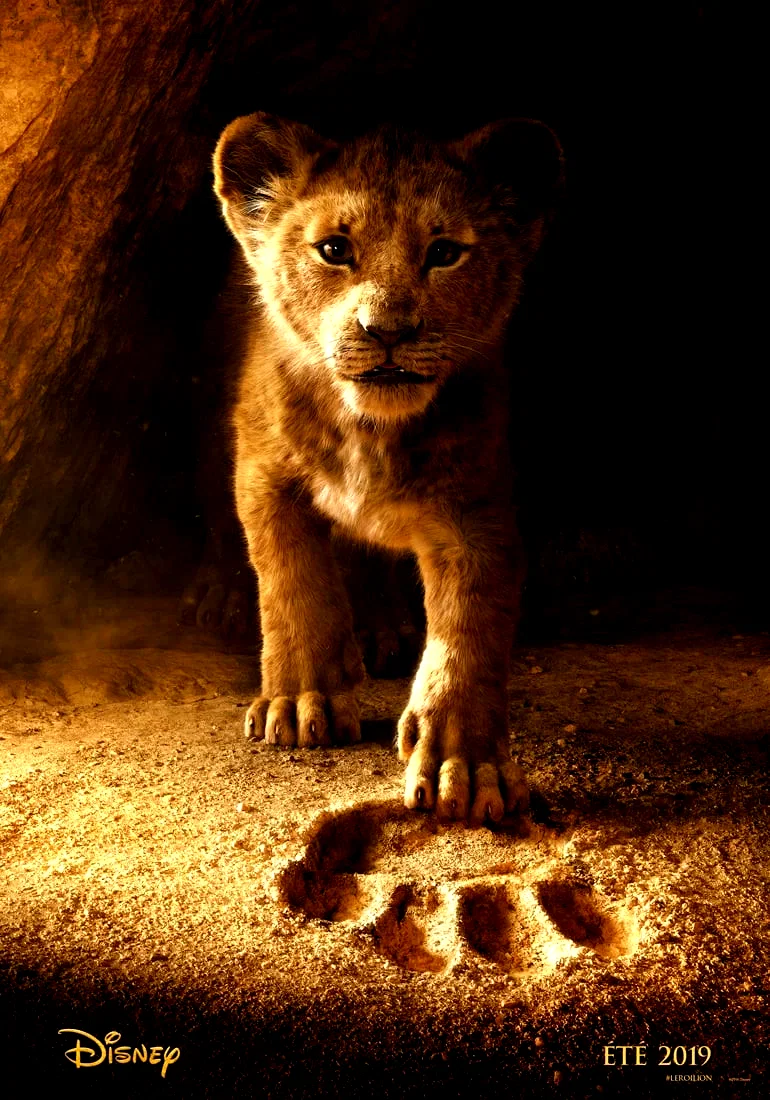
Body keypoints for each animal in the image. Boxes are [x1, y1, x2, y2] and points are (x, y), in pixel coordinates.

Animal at [212, 111, 562, 824]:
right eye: (334, 249)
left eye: (445, 252)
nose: (388, 330)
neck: (369, 429)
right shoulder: (264, 474)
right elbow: (294, 584)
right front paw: (301, 701)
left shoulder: (475, 511)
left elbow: (469, 631)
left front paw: (466, 764)